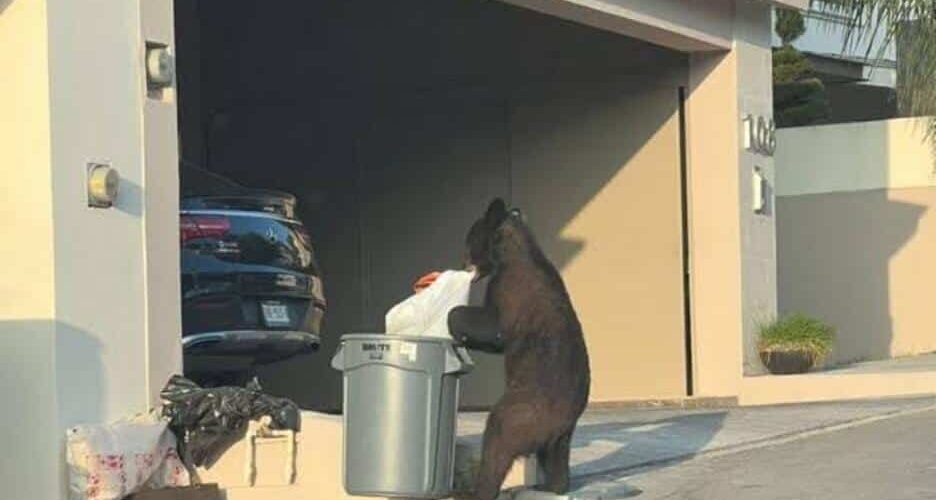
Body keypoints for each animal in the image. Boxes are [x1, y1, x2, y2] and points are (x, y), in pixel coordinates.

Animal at [460, 199, 592, 500]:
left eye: (469, 239)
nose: (464, 263)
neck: (512, 251)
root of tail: (559, 425)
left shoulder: (510, 288)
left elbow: (494, 328)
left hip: (523, 410)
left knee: (497, 441)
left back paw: (479, 491)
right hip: (559, 437)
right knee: (556, 461)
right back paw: (551, 485)